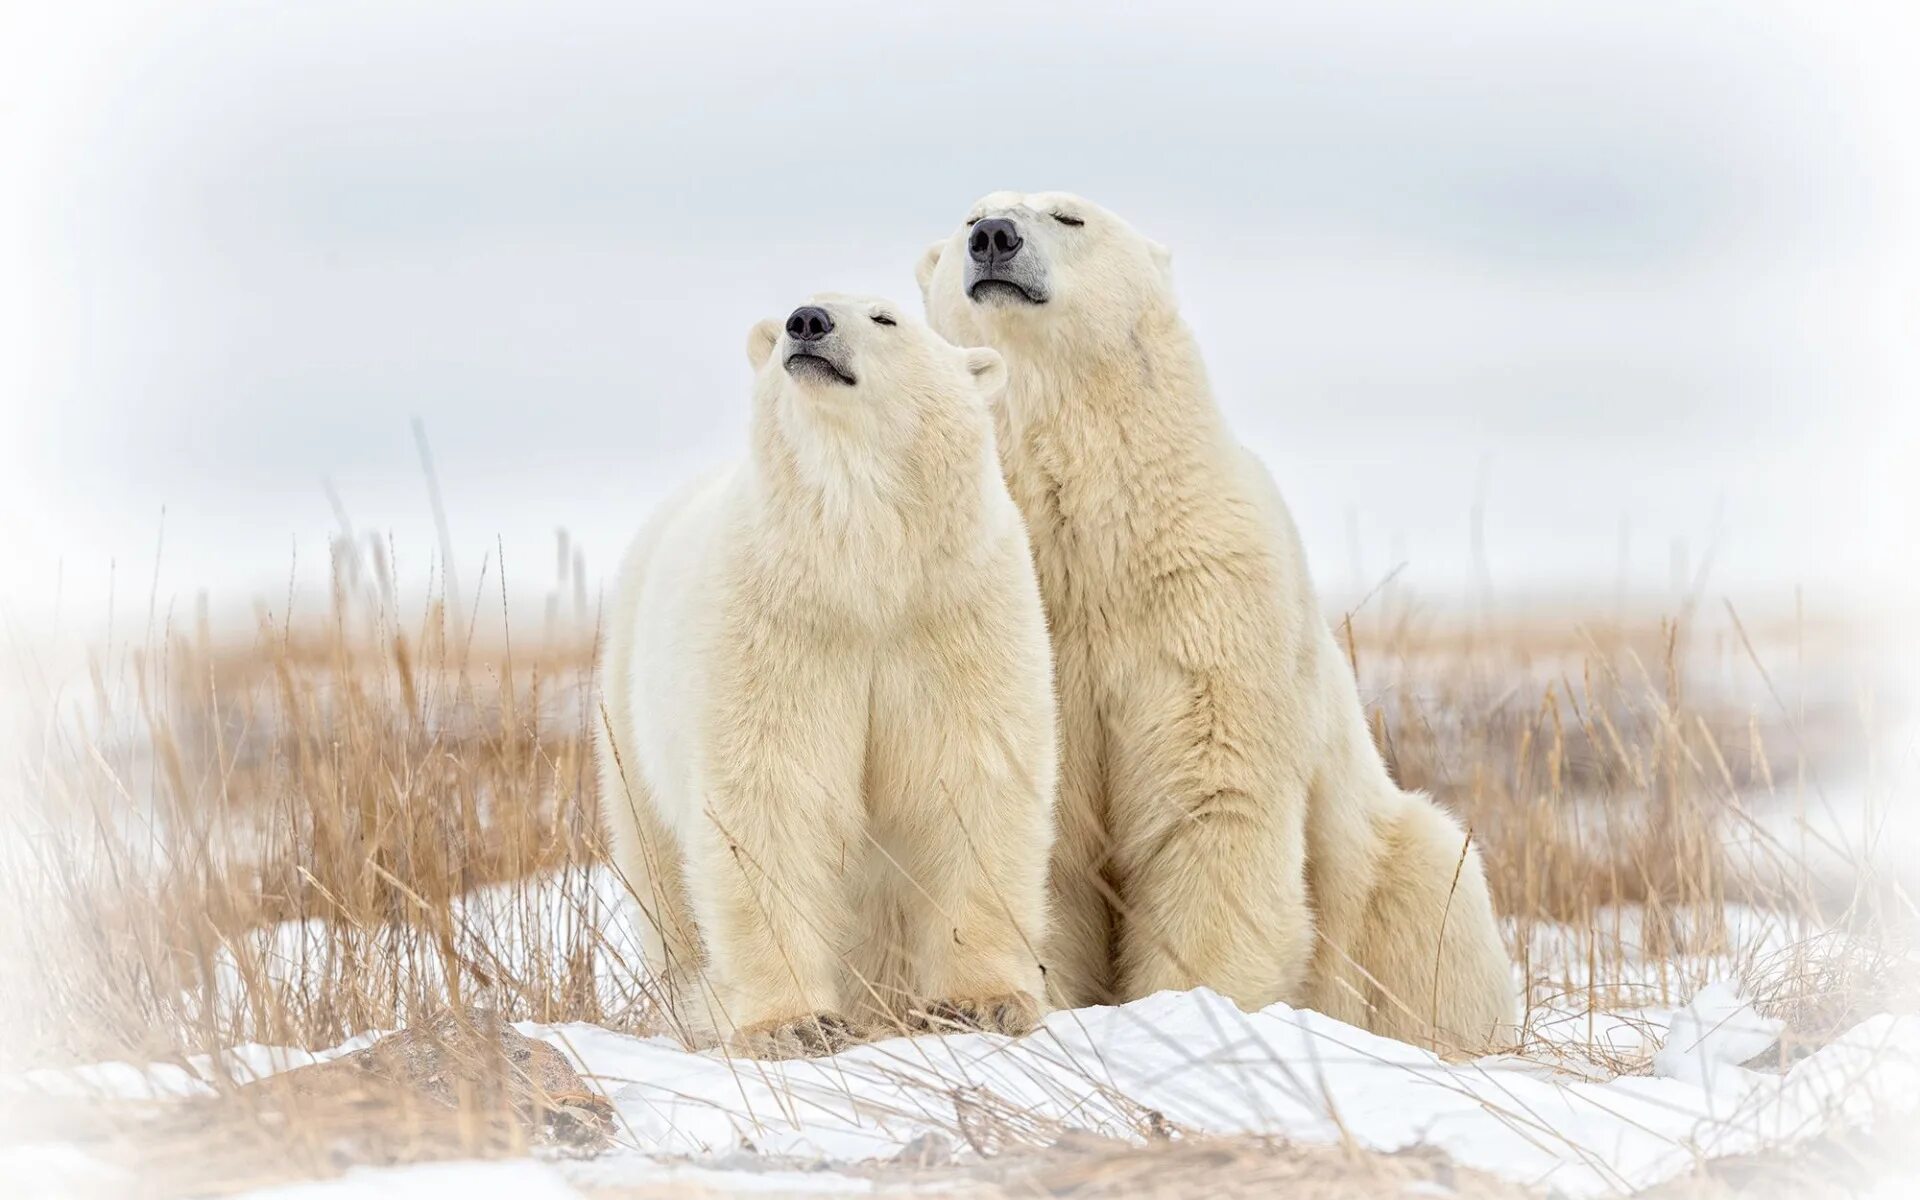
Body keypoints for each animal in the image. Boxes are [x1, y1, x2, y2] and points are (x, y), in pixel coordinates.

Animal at [595, 295, 1059, 1052]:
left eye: (885, 318)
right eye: (792, 310)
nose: (807, 322)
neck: (860, 570)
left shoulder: (954, 613)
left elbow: (971, 780)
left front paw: (983, 1003)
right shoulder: (777, 627)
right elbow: (771, 799)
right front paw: (794, 1023)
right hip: (627, 720)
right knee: (660, 876)